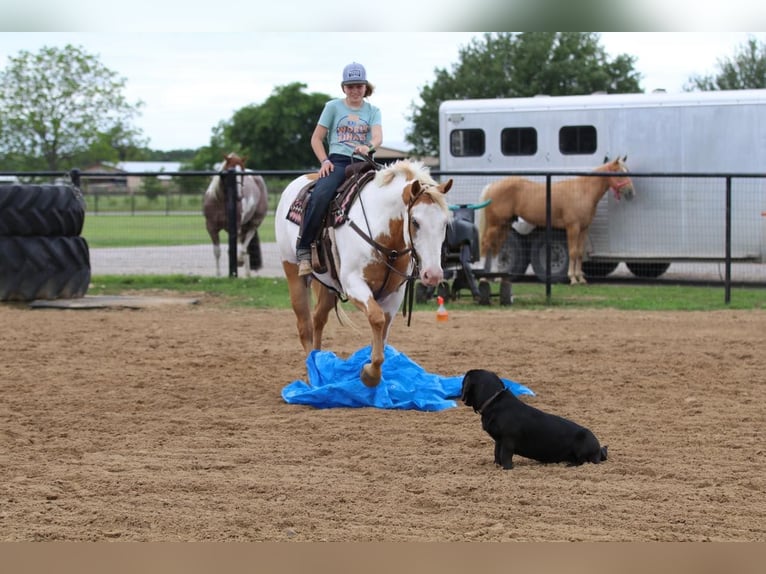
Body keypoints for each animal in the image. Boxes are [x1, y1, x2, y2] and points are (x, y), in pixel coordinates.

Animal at [276, 160, 452, 390]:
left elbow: (383, 330)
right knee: (304, 325)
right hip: (294, 274)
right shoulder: (353, 284)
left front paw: (373, 371)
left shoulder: (394, 293)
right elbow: (376, 318)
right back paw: (312, 375)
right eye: (415, 222)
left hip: (328, 287)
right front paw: (370, 374)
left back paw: (319, 365)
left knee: (318, 319)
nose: (433, 275)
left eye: (445, 223)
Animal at [460, 372, 608, 470]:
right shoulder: (499, 440)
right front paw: (497, 466)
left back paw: (571, 465)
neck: (494, 401)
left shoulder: (508, 441)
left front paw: (507, 469)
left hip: (583, 444)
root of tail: (599, 449)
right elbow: (497, 453)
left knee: (584, 461)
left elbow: (505, 456)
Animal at [480, 155, 636, 286]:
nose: (631, 192)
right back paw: (483, 278)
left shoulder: (584, 228)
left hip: (504, 225)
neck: (582, 190)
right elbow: (572, 252)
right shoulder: (573, 227)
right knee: (487, 245)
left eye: (627, 171)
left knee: (496, 248)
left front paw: (581, 278)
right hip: (495, 225)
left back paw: (497, 277)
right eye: (620, 173)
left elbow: (579, 252)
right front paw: (572, 279)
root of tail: (492, 186)